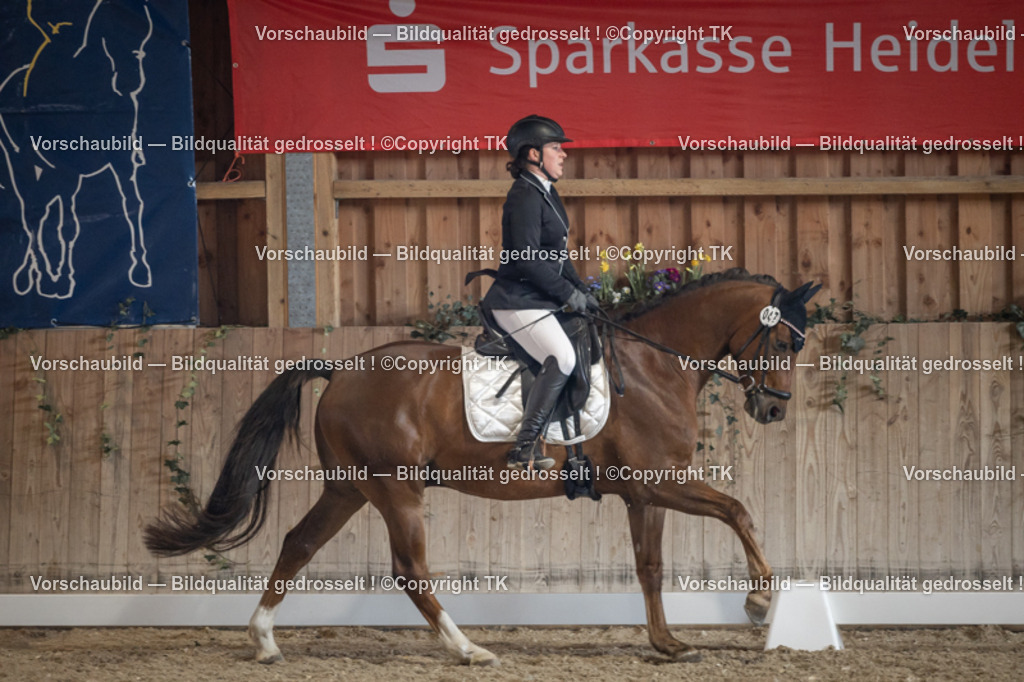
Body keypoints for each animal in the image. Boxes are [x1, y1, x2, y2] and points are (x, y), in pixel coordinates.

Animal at [144, 269, 821, 665]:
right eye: (786, 342)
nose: (773, 409)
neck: (655, 369)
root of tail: (341, 370)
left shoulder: (644, 493)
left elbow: (650, 567)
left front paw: (667, 643)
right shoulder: (661, 482)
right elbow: (739, 510)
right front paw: (759, 602)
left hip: (350, 488)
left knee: (298, 542)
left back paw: (263, 641)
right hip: (396, 490)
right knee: (410, 569)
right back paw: (470, 649)